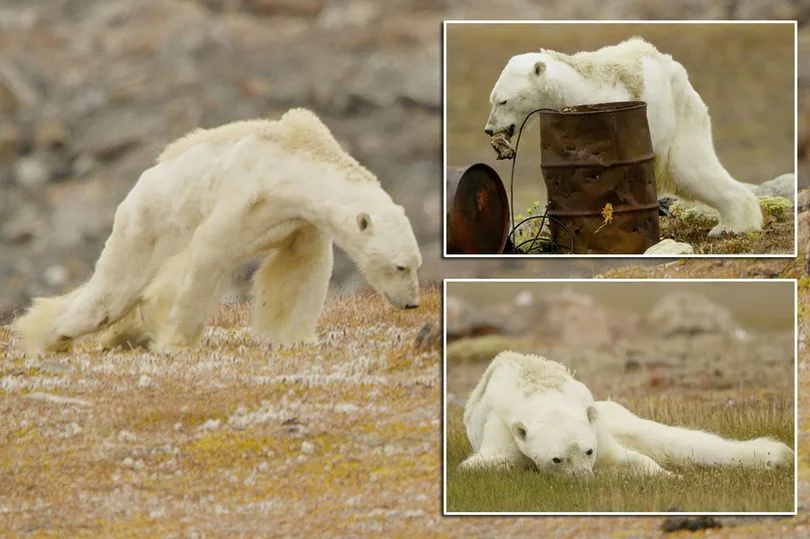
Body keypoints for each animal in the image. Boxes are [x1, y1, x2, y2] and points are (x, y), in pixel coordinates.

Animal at [12, 107, 422, 356]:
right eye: (400, 266)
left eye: (415, 264)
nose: (412, 303)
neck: (295, 161)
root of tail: (139, 185)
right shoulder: (246, 195)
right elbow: (207, 256)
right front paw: (175, 341)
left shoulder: (300, 220)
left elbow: (299, 270)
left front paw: (296, 336)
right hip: (146, 226)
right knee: (110, 294)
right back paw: (50, 336)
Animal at [458, 354, 792, 476]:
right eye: (557, 458)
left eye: (588, 451)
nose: (585, 478)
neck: (540, 390)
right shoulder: (502, 426)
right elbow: (483, 464)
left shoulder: (593, 423)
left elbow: (628, 457)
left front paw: (669, 476)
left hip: (615, 413)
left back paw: (776, 455)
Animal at [482, 35, 760, 234]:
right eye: (492, 99)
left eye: (504, 101)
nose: (489, 129)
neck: (575, 87)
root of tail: (679, 75)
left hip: (678, 121)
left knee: (692, 170)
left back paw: (732, 226)